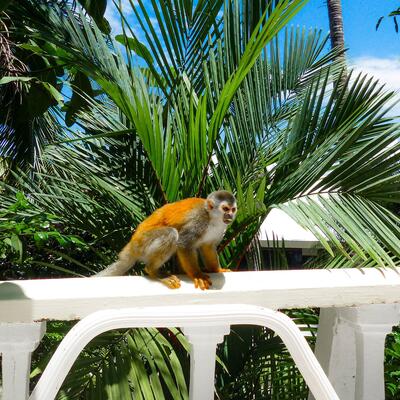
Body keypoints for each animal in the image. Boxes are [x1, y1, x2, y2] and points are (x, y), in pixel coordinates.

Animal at [96, 190, 237, 290]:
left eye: (233, 209)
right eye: (225, 209)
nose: (230, 215)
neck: (213, 218)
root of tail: (131, 246)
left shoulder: (221, 227)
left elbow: (208, 247)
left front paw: (217, 270)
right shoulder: (199, 221)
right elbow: (184, 244)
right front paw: (197, 275)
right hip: (142, 242)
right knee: (172, 233)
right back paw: (153, 271)